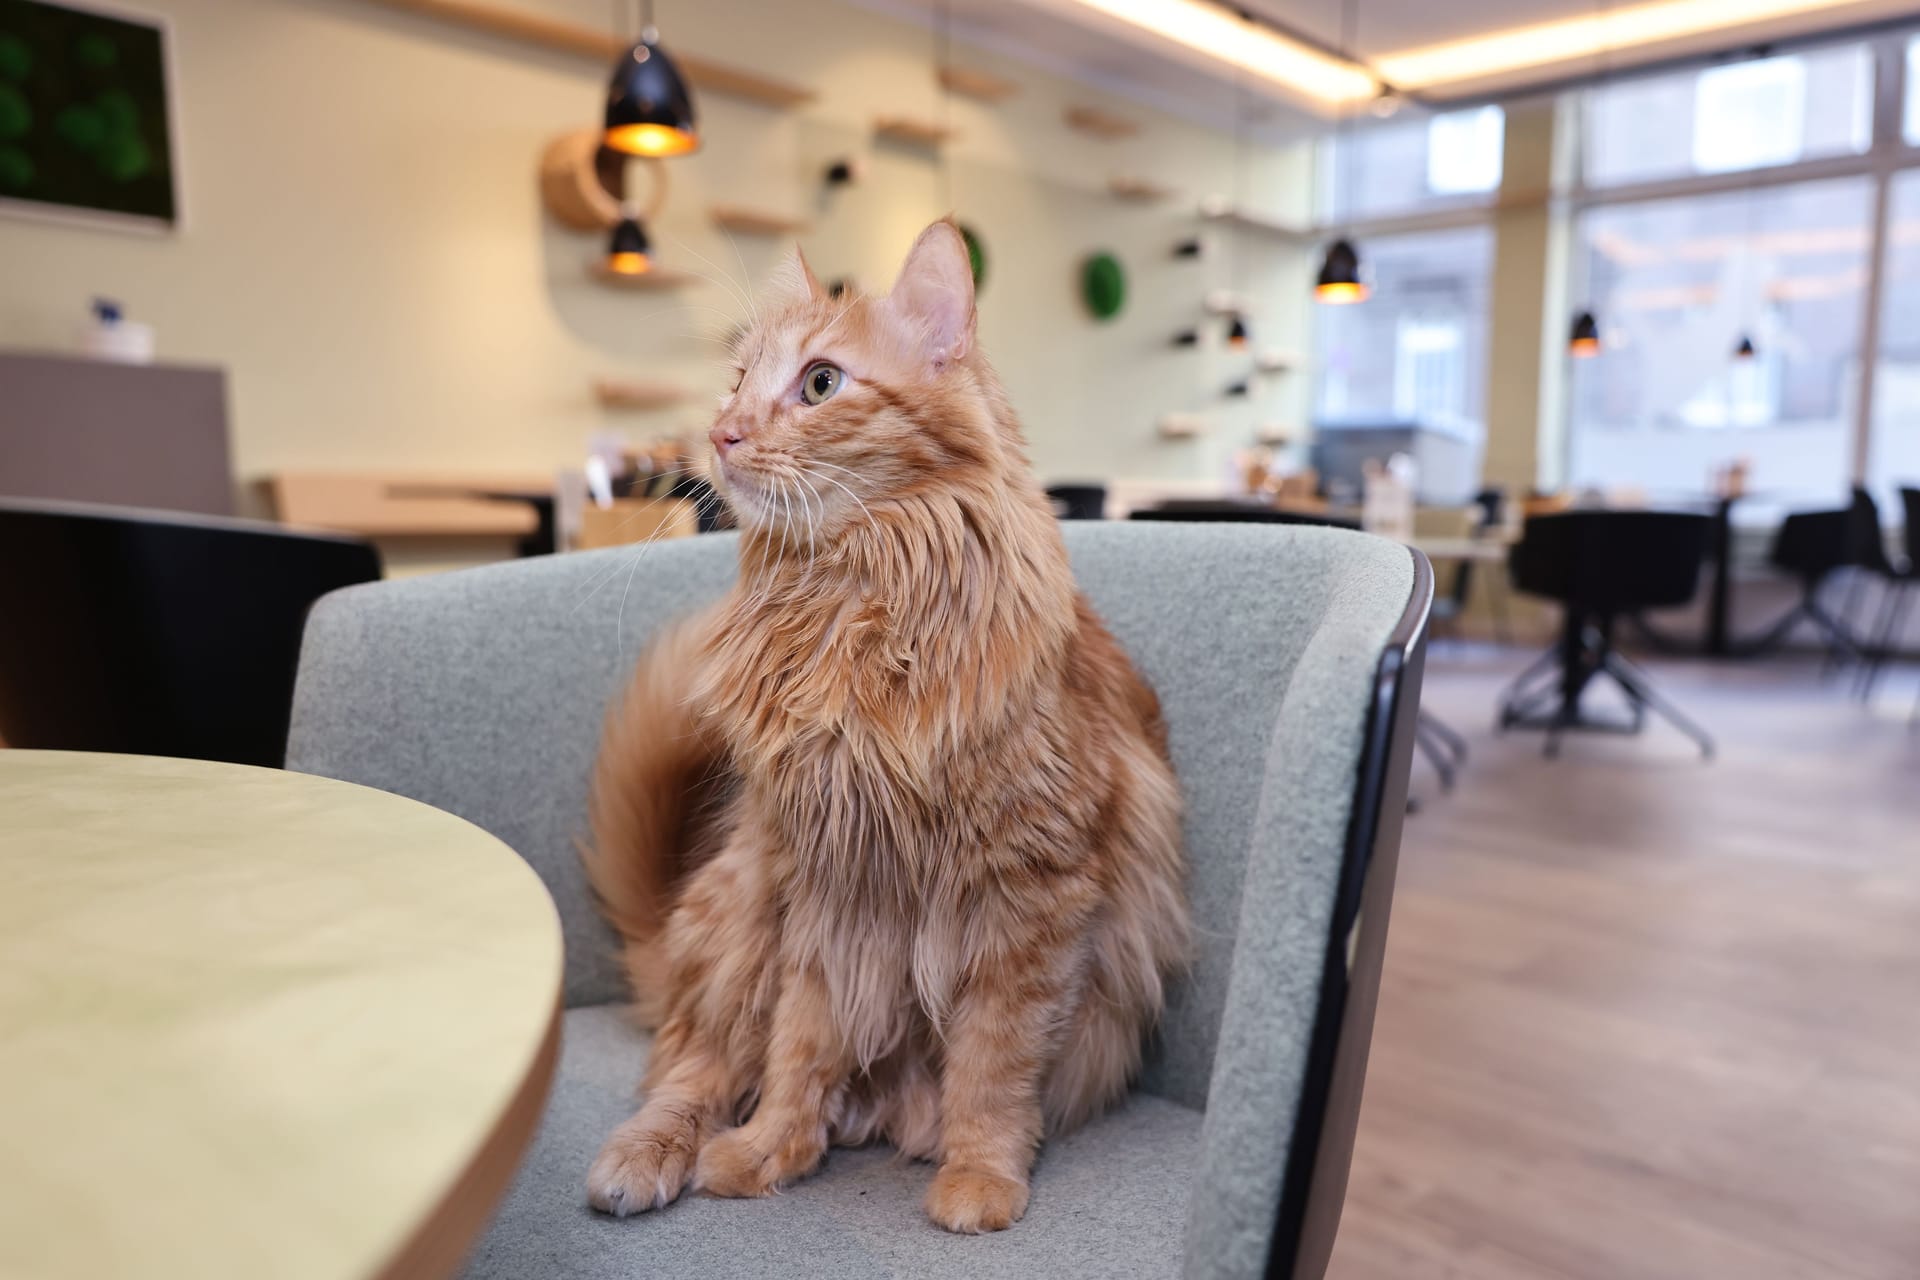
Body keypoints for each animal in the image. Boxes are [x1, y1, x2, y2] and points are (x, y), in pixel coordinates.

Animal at [579, 217, 1182, 1228]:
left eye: (821, 383)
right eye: (737, 380)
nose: (721, 432)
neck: (851, 603)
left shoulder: (1032, 896)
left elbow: (992, 1065)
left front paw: (980, 1176)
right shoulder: (825, 891)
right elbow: (799, 1048)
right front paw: (767, 1151)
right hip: (740, 913)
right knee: (693, 1070)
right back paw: (648, 1156)